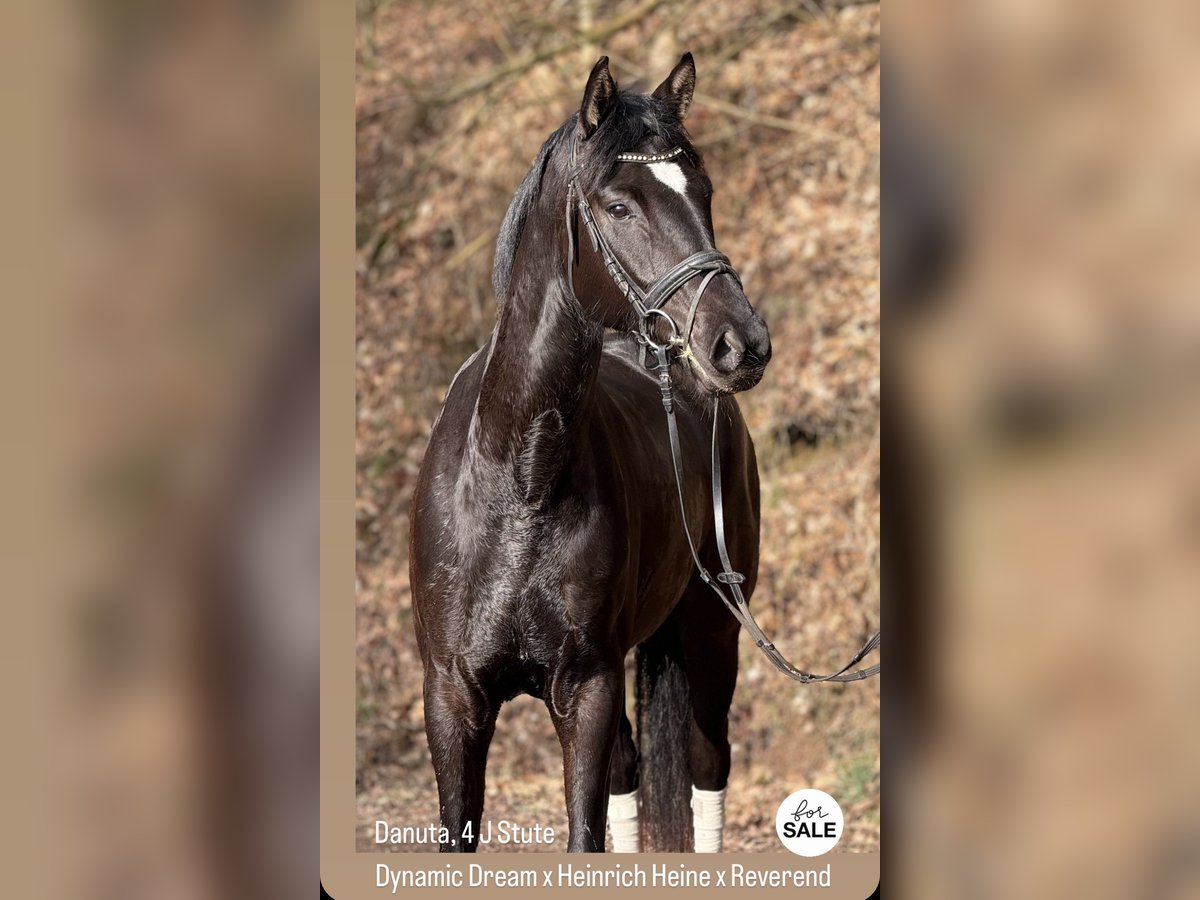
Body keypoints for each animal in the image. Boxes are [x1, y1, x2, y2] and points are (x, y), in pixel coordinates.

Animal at [409, 53, 772, 853]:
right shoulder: (451, 697)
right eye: (617, 206)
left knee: (707, 765)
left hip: (713, 630)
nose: (742, 345)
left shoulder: (588, 686)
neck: (520, 477)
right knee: (634, 773)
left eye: (703, 191)